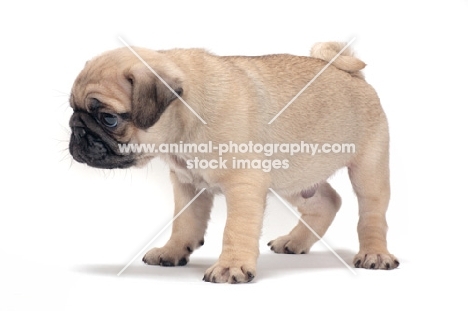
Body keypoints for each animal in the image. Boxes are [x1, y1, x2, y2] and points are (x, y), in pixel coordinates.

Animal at [68, 42, 398, 284]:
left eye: (109, 118)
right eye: (72, 109)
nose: (77, 129)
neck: (185, 119)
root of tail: (350, 73)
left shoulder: (245, 184)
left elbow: (235, 229)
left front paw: (231, 267)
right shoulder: (187, 184)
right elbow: (184, 223)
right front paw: (172, 251)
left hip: (368, 168)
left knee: (371, 214)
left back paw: (375, 254)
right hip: (294, 176)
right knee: (327, 201)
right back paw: (294, 241)